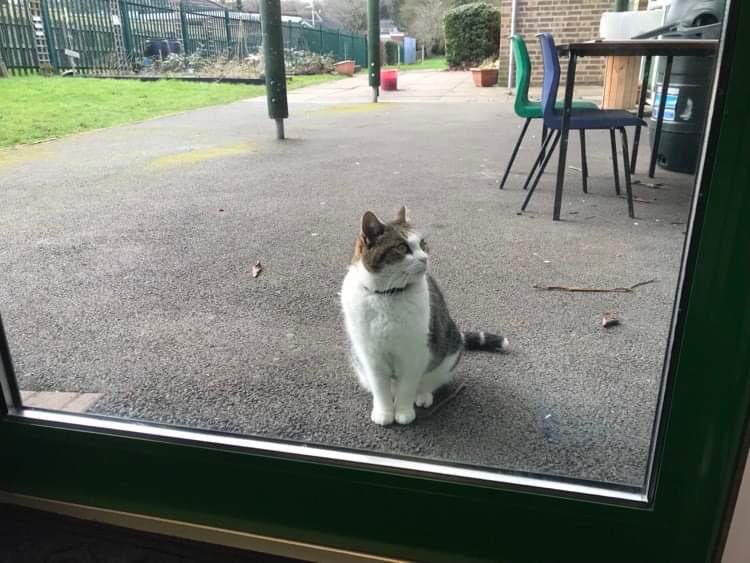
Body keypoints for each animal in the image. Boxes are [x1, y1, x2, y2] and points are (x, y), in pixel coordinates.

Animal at [342, 209, 512, 426]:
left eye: (423, 244)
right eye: (402, 247)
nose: (425, 258)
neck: (388, 295)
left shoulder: (415, 353)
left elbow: (407, 387)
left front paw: (403, 411)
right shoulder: (371, 355)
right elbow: (381, 388)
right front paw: (384, 411)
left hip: (447, 352)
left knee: (428, 381)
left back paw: (422, 395)